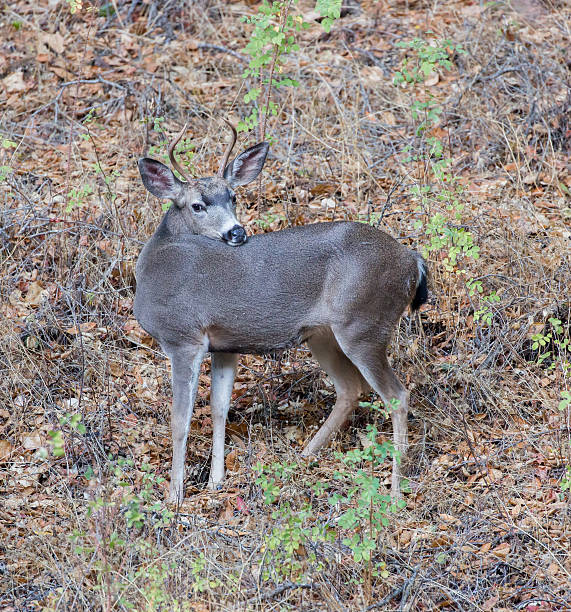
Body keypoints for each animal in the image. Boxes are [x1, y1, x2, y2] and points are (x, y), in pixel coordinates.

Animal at [136, 119, 426, 502]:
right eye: (198, 205)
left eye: (233, 196)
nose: (237, 232)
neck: (153, 265)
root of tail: (412, 261)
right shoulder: (225, 344)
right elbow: (219, 408)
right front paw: (215, 481)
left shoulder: (182, 337)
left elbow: (180, 420)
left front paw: (174, 496)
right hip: (324, 334)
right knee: (351, 388)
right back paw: (305, 455)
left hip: (363, 323)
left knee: (396, 396)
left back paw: (393, 491)